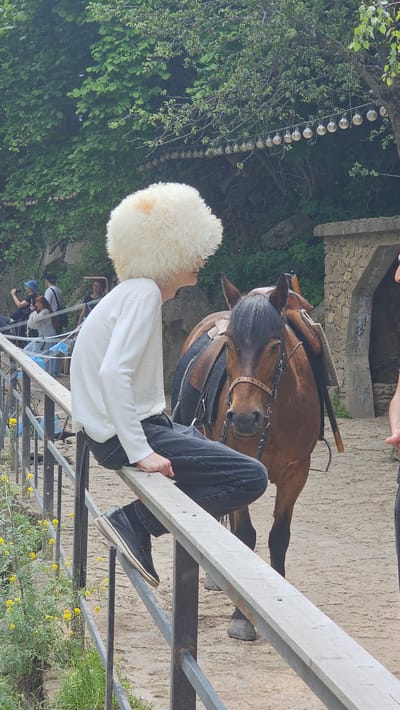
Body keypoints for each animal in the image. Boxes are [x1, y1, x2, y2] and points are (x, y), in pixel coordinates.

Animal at [171, 273, 322, 641]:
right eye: (231, 345)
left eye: (274, 346)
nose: (243, 417)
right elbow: (245, 536)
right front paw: (241, 616)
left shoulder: (297, 473)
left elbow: (278, 538)